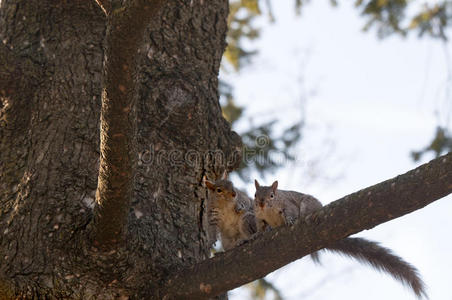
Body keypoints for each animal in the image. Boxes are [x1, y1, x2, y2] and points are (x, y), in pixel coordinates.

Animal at [254, 179, 428, 298]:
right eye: (255, 195)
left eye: (271, 195)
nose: (261, 203)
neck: (268, 211)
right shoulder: (260, 218)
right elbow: (261, 226)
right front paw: (258, 234)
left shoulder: (288, 204)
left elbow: (291, 212)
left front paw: (290, 220)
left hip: (308, 204)